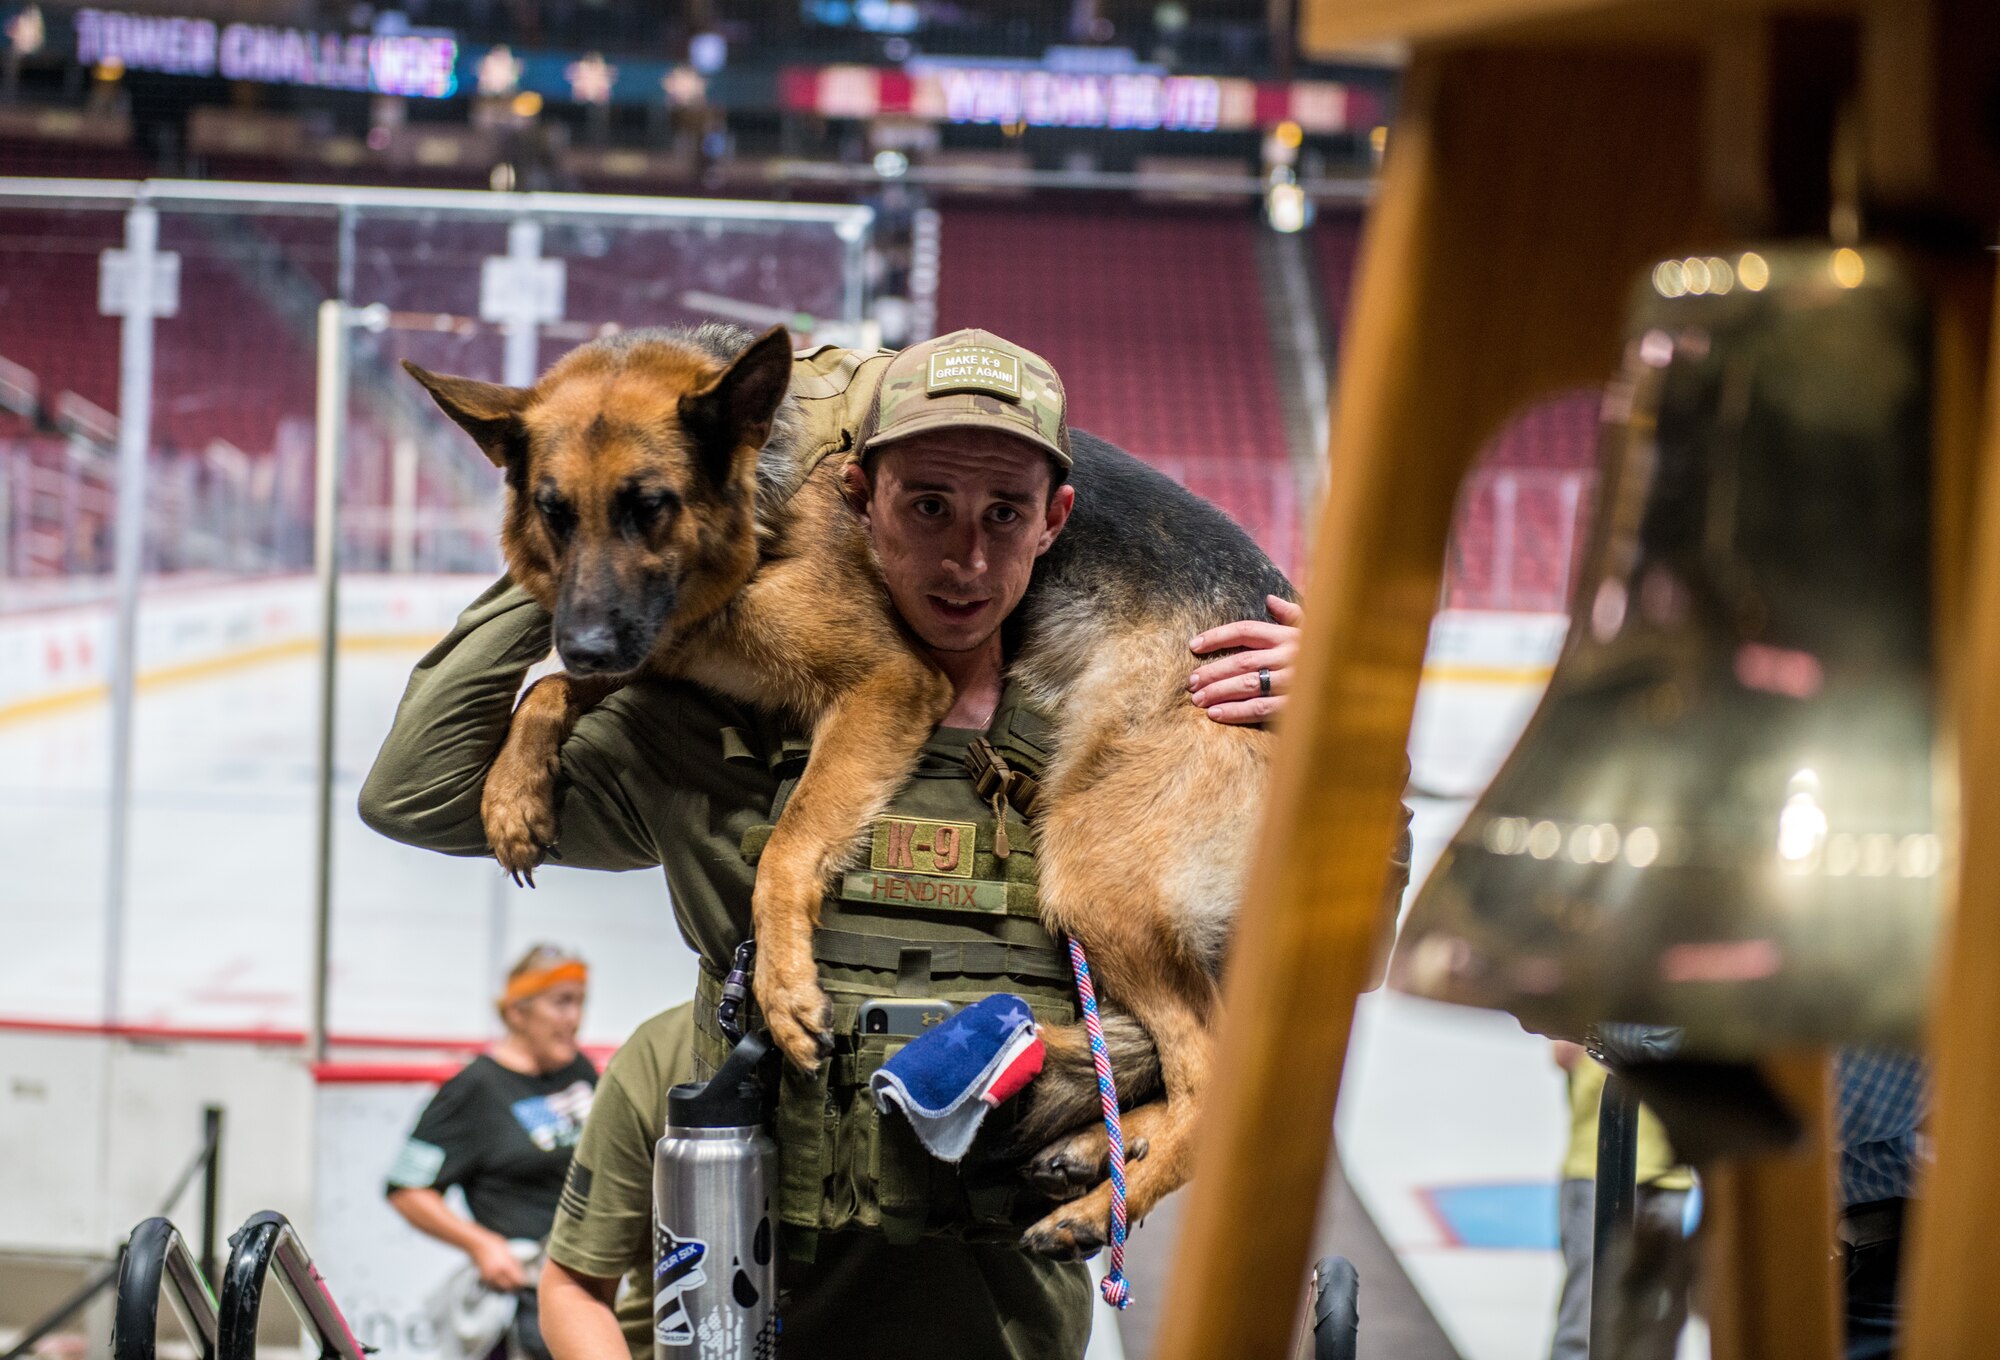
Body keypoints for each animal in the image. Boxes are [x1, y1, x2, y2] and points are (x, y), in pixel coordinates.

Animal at [408, 318, 1288, 1256]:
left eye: (651, 505)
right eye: (555, 512)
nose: (584, 642)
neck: (761, 506)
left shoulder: (885, 685)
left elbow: (788, 847)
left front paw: (784, 987)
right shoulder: (665, 648)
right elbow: (546, 690)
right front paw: (513, 796)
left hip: (1094, 871)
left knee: (1208, 1075)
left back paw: (1094, 1207)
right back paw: (1097, 1149)